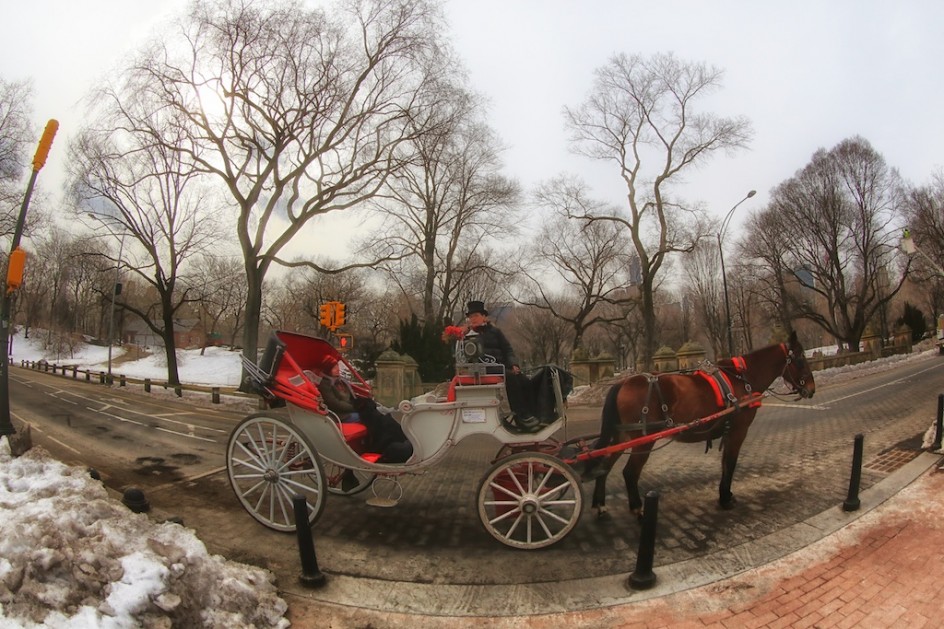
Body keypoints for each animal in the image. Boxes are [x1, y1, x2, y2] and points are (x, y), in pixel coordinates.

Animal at [592, 332, 812, 516]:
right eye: (801, 360)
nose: (811, 388)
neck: (741, 379)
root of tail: (622, 383)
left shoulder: (728, 431)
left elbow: (725, 463)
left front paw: (726, 494)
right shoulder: (738, 431)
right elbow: (730, 463)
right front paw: (725, 498)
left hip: (622, 437)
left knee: (604, 465)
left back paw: (600, 503)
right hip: (643, 440)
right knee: (629, 472)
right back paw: (637, 508)